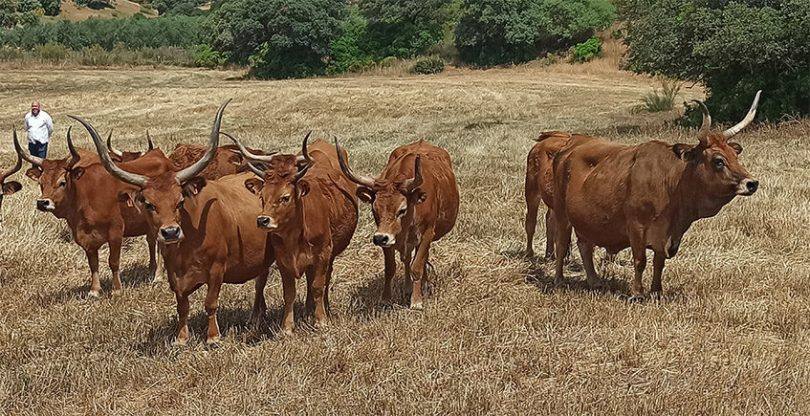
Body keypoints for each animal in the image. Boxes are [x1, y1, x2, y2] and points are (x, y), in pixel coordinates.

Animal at [15, 128, 174, 297]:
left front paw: (116, 289)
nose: (42, 203)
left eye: (62, 182)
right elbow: (93, 264)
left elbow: (113, 261)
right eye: (41, 183)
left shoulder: (116, 232)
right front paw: (94, 290)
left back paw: (158, 276)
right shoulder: (85, 237)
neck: (84, 197)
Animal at [77, 101, 274, 345]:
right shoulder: (174, 276)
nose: (170, 232)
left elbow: (210, 303)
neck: (188, 245)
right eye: (149, 204)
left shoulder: (217, 269)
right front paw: (181, 337)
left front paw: (213, 337)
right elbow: (182, 306)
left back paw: (255, 317)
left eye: (180, 201)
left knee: (259, 284)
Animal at [227, 132, 359, 334]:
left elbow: (318, 287)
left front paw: (321, 320)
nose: (263, 220)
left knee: (324, 279)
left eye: (285, 197)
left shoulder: (323, 253)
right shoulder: (283, 259)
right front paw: (287, 326)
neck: (295, 235)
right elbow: (289, 293)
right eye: (262, 196)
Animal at [335, 139, 459, 310]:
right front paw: (386, 299)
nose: (380, 238)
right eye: (374, 209)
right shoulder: (389, 239)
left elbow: (417, 266)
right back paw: (408, 288)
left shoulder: (427, 233)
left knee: (420, 258)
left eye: (402, 210)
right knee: (406, 259)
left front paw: (416, 301)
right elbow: (390, 268)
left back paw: (424, 286)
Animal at [550, 92, 762, 300]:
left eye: (735, 156)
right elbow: (640, 260)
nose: (752, 183)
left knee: (584, 245)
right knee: (561, 244)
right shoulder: (636, 226)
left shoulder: (665, 235)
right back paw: (559, 280)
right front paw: (637, 293)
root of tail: (568, 148)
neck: (671, 183)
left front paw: (656, 291)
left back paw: (594, 281)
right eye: (718, 161)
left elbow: (659, 263)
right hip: (561, 213)